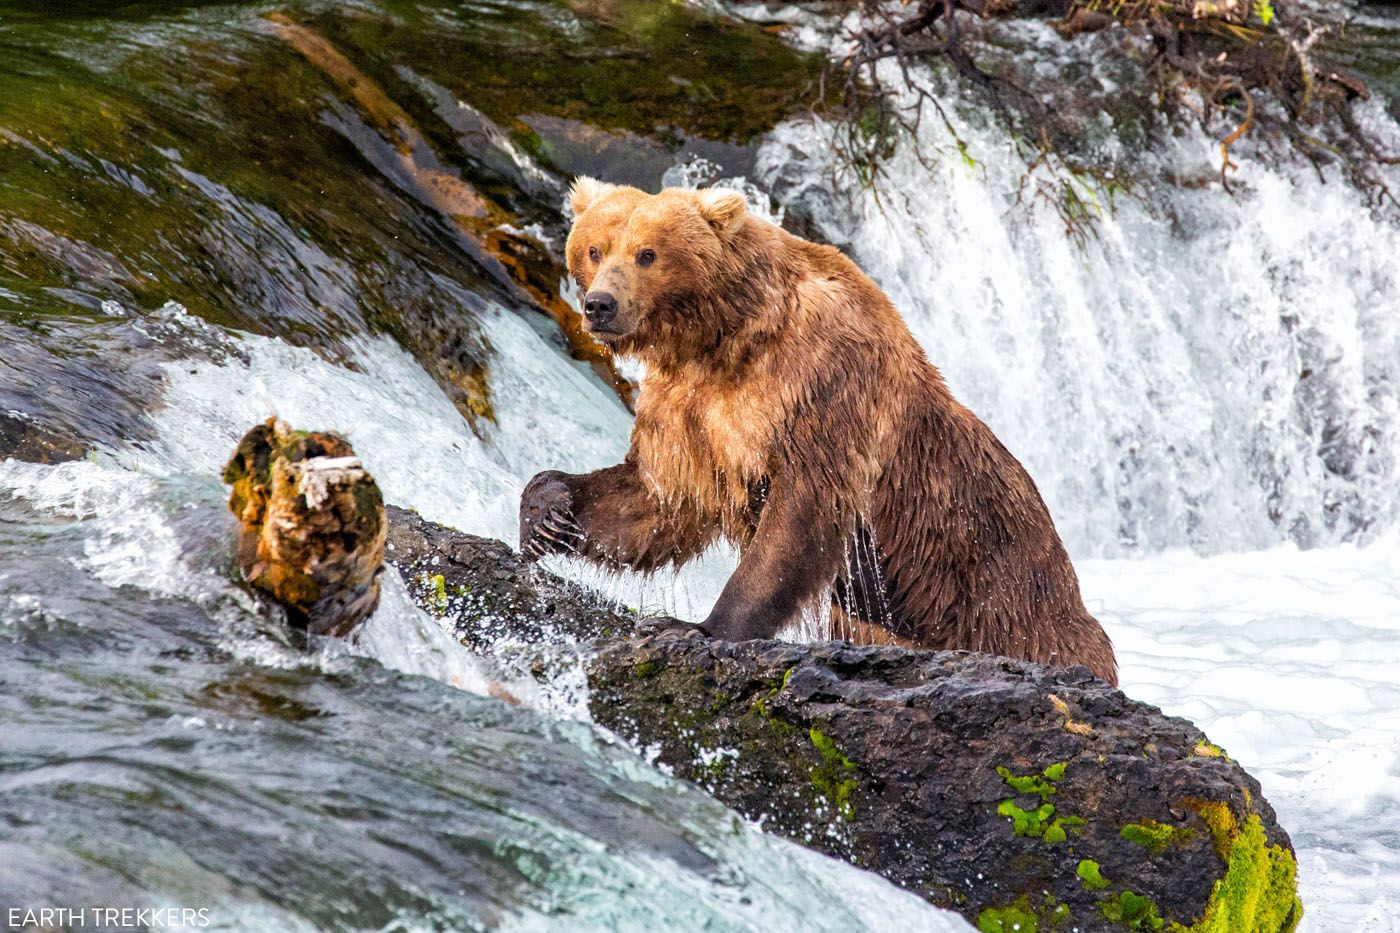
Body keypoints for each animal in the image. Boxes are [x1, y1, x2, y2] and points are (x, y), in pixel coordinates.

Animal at [520, 176, 1120, 683]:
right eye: (595, 249)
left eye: (648, 253)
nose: (600, 304)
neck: (722, 336)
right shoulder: (689, 407)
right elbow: (657, 498)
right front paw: (547, 511)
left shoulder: (820, 383)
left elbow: (799, 518)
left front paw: (700, 626)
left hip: (1006, 599)